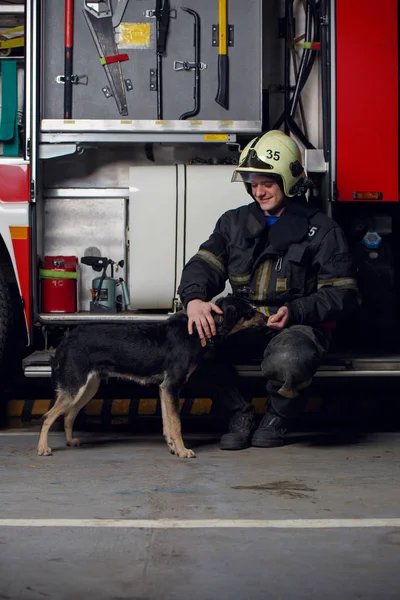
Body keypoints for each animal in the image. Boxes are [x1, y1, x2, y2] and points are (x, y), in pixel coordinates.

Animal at [36, 296, 266, 460]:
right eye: (250, 312)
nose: (266, 318)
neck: (194, 330)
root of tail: (66, 339)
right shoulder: (172, 386)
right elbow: (176, 423)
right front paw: (183, 451)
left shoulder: (164, 388)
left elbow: (167, 423)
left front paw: (174, 448)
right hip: (75, 387)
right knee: (48, 416)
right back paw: (43, 448)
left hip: (87, 387)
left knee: (68, 415)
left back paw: (70, 441)